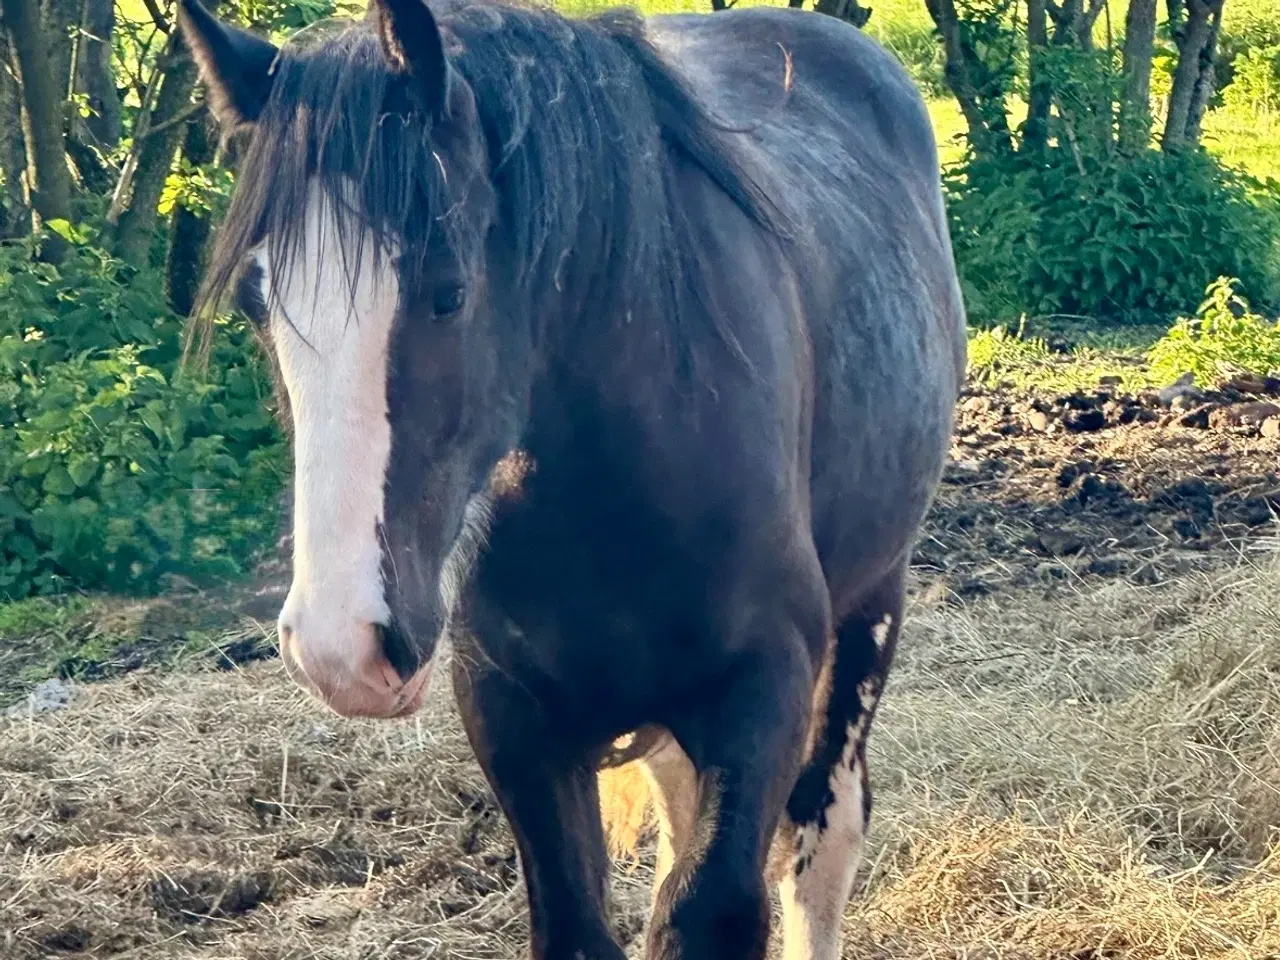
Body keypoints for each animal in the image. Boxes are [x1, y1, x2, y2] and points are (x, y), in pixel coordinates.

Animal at [175, 0, 962, 957]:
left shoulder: (762, 685)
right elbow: (582, 920)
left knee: (824, 832)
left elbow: (713, 906)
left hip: (871, 606)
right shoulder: (514, 716)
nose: (342, 648)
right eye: (257, 301)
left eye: (449, 290)